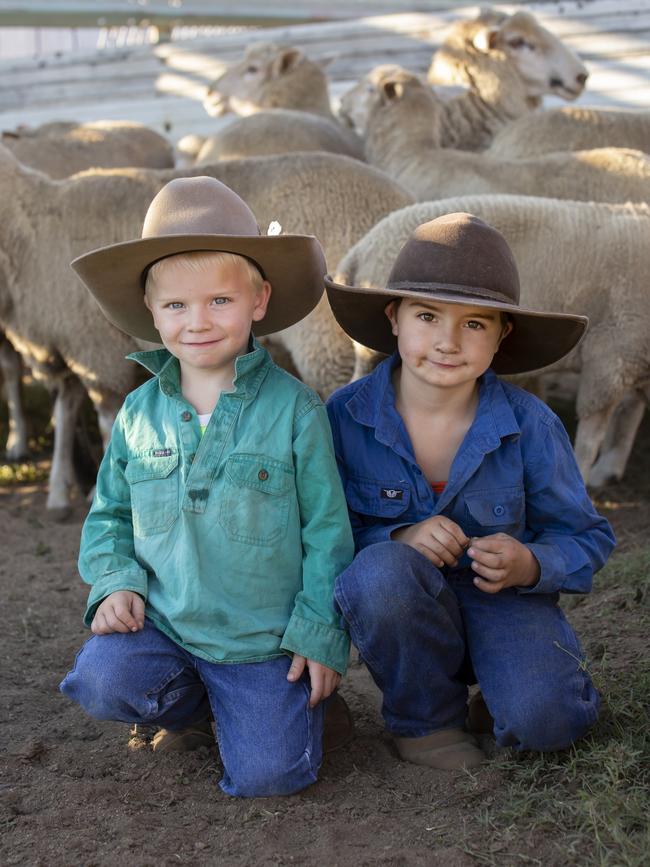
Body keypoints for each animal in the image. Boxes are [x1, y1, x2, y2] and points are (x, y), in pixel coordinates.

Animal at [332, 192, 648, 484]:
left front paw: (609, 469)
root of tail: (362, 246)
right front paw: (585, 474)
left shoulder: (632, 359)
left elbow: (629, 413)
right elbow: (593, 430)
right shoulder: (613, 352)